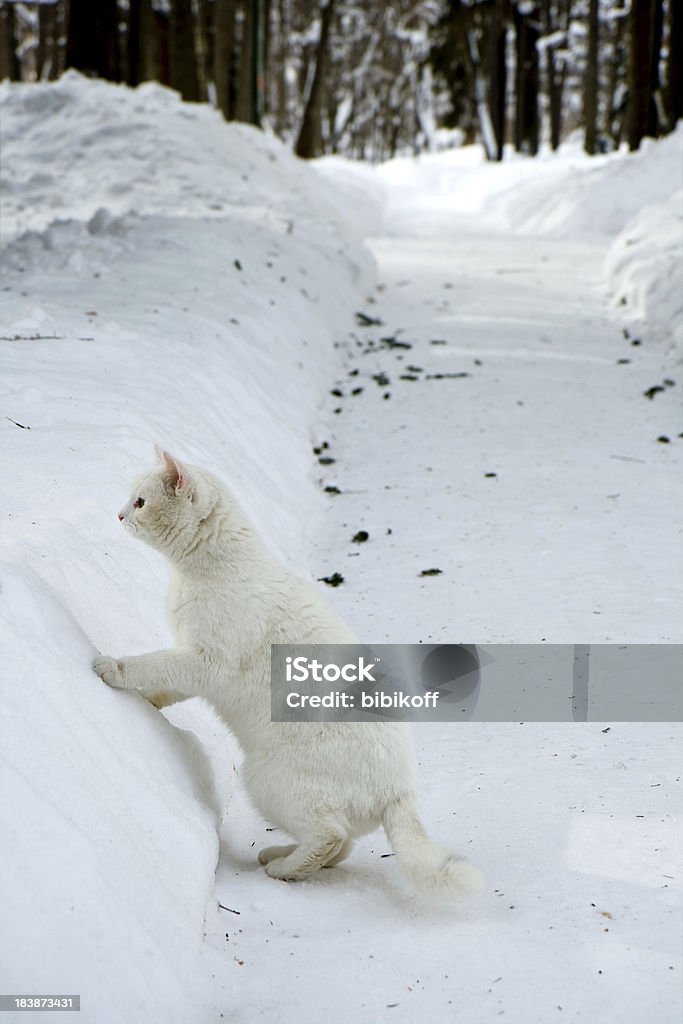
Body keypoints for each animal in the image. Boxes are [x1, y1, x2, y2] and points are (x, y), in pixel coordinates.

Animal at [93, 452, 483, 901]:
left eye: (140, 501)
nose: (119, 514)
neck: (206, 571)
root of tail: (401, 791)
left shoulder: (207, 661)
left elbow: (153, 664)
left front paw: (112, 669)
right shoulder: (194, 664)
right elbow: (167, 685)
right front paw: (148, 703)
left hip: (267, 778)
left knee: (330, 836)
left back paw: (282, 869)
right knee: (344, 844)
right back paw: (280, 854)